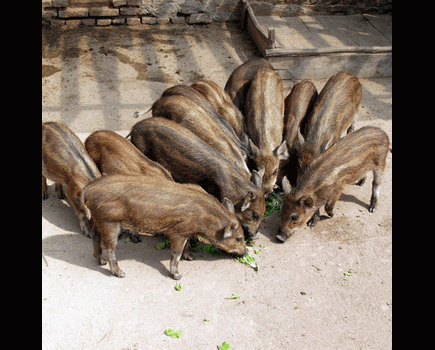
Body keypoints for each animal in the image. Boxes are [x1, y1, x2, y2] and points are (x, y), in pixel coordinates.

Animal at [83, 175, 247, 278]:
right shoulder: (177, 232)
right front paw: (178, 276)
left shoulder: (186, 232)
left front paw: (191, 258)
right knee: (109, 248)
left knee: (94, 235)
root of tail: (88, 188)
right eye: (239, 238)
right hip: (109, 222)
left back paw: (101, 261)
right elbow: (176, 253)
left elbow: (187, 245)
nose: (245, 253)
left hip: (99, 221)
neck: (205, 218)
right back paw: (121, 273)